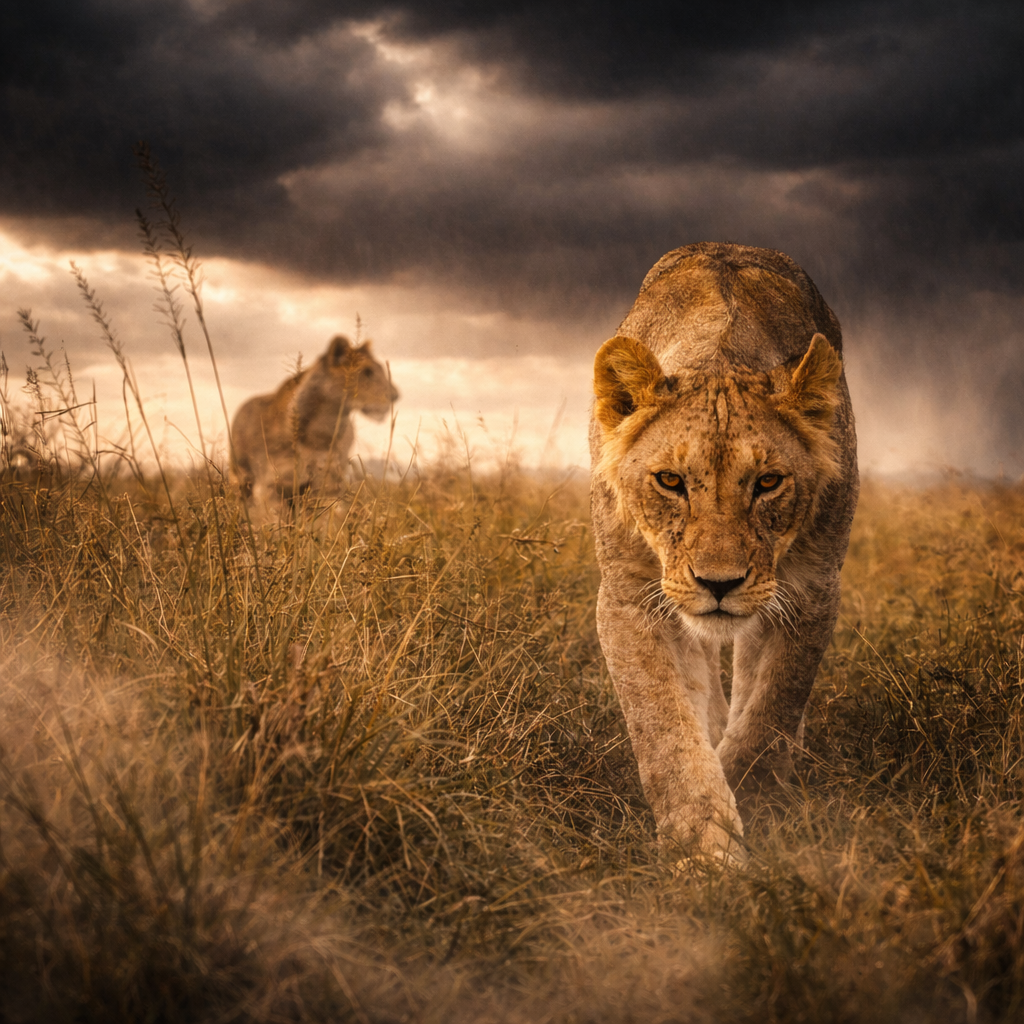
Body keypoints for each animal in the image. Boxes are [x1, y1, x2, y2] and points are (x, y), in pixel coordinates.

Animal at [231, 334, 399, 519]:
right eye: (367, 372)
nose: (396, 395)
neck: (323, 429)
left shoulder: (326, 484)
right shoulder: (270, 485)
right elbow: (276, 520)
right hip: (241, 476)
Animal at [590, 242, 858, 862]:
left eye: (768, 482)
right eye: (669, 481)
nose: (719, 584)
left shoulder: (811, 590)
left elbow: (771, 711)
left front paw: (756, 805)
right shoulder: (629, 597)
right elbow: (664, 729)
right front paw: (704, 853)